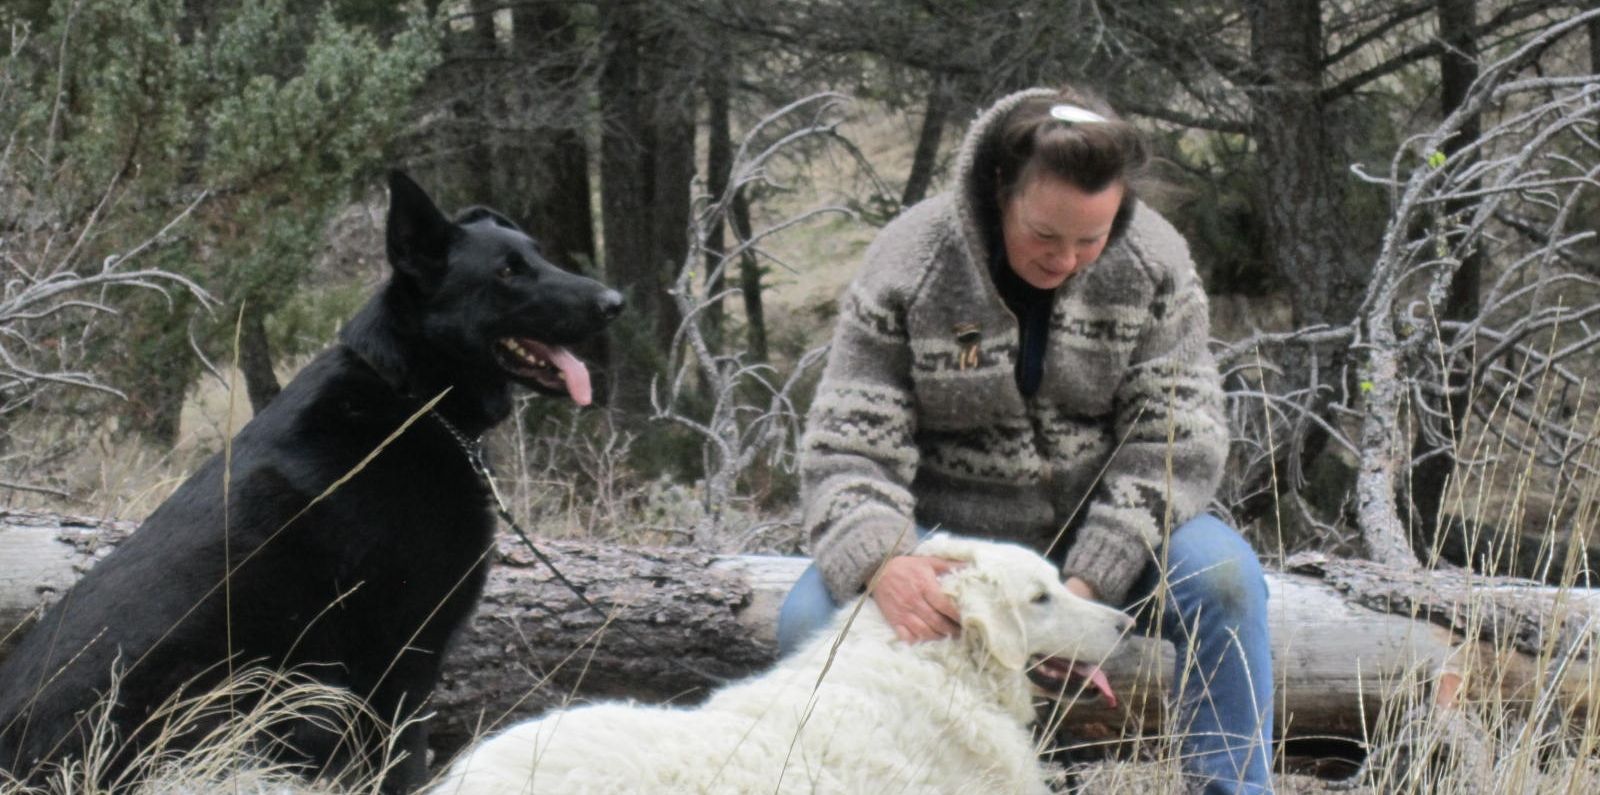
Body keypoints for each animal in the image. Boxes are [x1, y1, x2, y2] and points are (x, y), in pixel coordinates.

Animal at [0, 171, 620, 787]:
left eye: (538, 255)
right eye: (507, 272)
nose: (616, 303)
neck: (410, 395)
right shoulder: (402, 661)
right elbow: (405, 766)